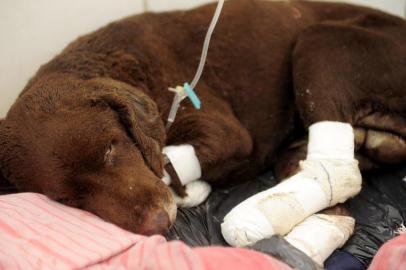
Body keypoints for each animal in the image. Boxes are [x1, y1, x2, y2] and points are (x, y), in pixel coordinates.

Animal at [0, 0, 406, 234]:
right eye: (68, 199)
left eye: (112, 150)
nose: (158, 224)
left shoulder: (225, 131)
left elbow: (170, 160)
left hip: (319, 40)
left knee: (337, 170)